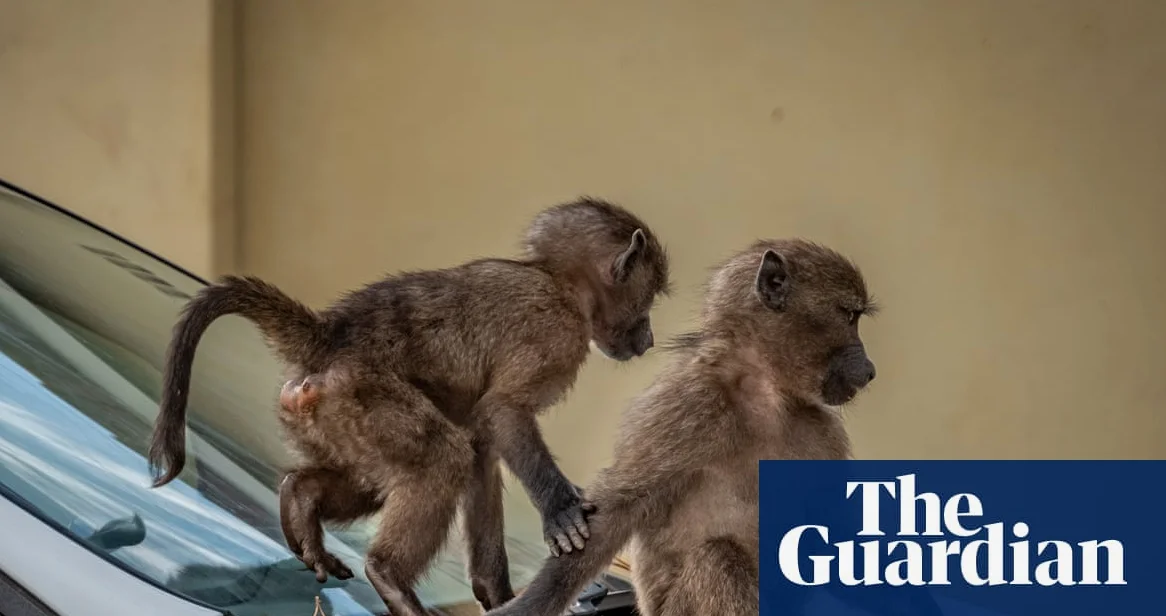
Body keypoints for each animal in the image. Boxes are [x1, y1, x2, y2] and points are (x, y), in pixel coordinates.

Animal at [145, 197, 672, 616]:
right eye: (646, 299)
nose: (648, 338)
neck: (559, 282)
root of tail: (327, 337)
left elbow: (484, 450)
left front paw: (497, 594)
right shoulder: (554, 333)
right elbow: (503, 412)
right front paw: (561, 513)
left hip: (320, 414)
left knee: (384, 474)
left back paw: (300, 497)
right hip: (360, 397)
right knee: (442, 458)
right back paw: (388, 576)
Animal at [483, 238, 887, 616]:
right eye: (849, 316)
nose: (869, 371)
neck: (766, 392)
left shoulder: (824, 429)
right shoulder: (684, 408)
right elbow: (616, 511)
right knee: (718, 559)